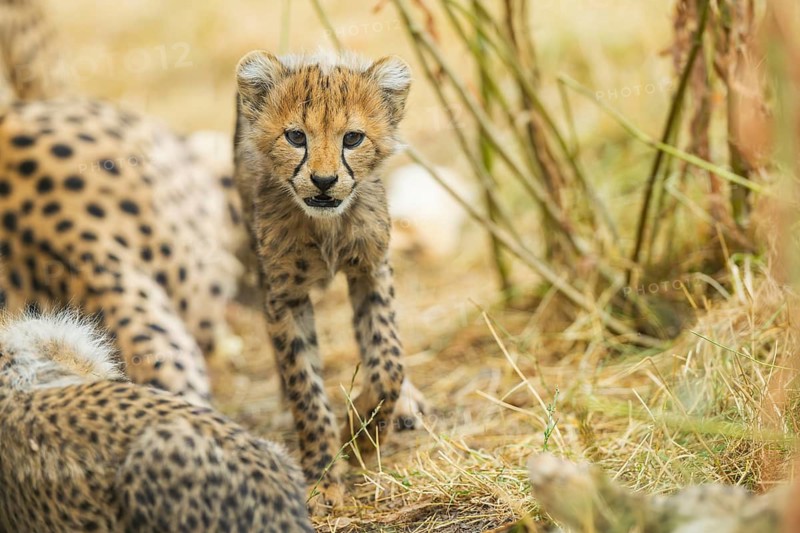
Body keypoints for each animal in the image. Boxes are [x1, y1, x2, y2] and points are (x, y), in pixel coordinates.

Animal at [234, 49, 424, 513]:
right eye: (295, 137)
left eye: (352, 138)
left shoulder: (372, 271)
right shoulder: (284, 295)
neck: (326, 226)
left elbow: (388, 360)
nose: (323, 181)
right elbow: (305, 385)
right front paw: (323, 476)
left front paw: (363, 436)